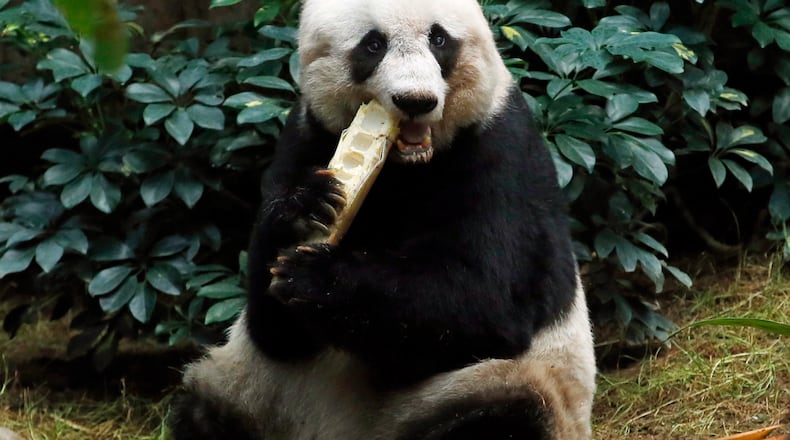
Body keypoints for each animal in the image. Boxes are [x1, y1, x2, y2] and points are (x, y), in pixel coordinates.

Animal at [169, 0, 596, 438]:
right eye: (373, 45)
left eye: (439, 38)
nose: (416, 100)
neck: (406, 166)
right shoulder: (305, 133)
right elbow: (272, 328)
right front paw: (304, 209)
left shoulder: (501, 147)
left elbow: (489, 297)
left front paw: (317, 278)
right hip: (253, 393)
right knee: (204, 409)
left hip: (483, 390)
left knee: (511, 409)